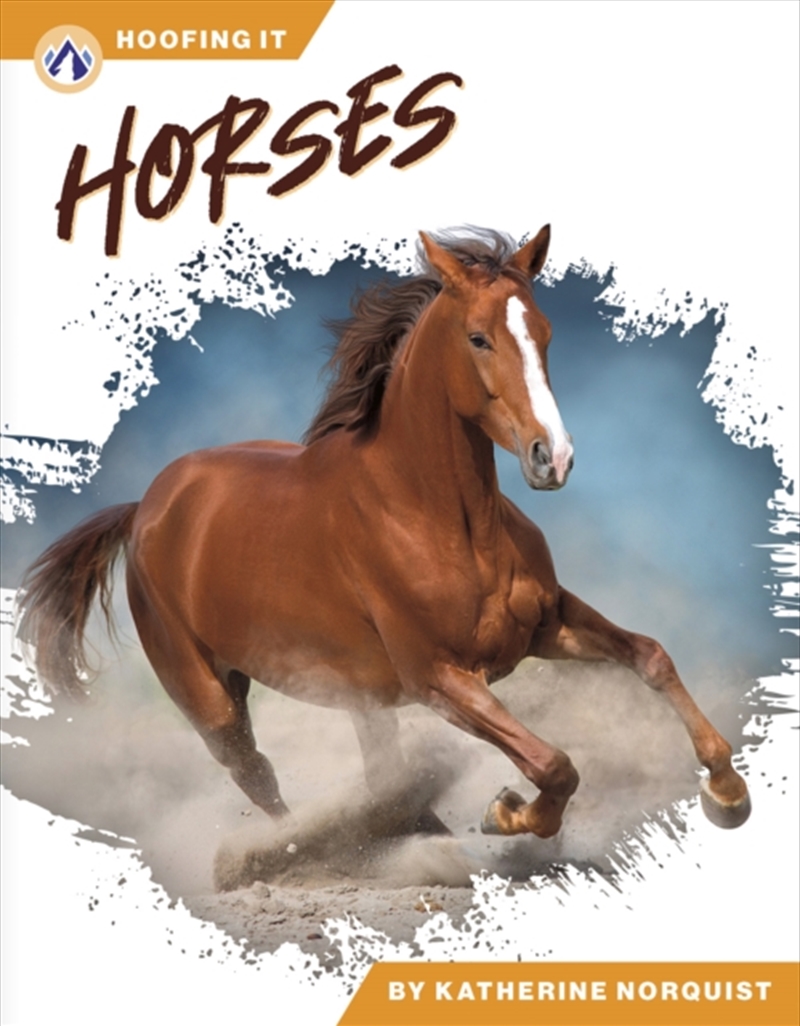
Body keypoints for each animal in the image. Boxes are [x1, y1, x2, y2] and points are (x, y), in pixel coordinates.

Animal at [19, 226, 751, 840]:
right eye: (478, 338)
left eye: (544, 334)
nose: (555, 457)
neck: (441, 522)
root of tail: (148, 506)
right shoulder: (440, 678)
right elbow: (555, 764)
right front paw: (507, 814)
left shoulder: (548, 625)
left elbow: (651, 658)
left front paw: (727, 791)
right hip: (209, 698)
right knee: (257, 773)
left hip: (358, 693)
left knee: (380, 773)